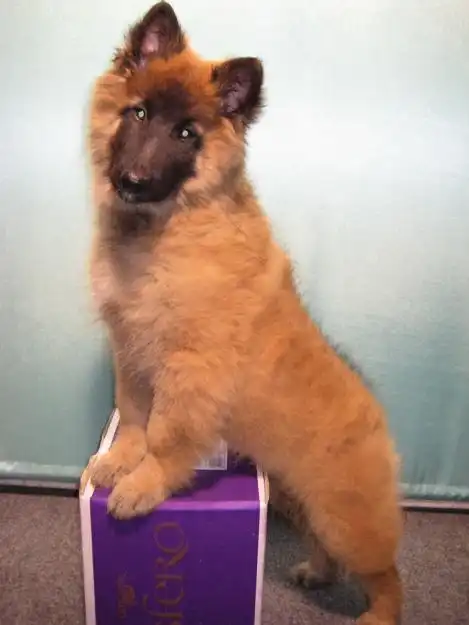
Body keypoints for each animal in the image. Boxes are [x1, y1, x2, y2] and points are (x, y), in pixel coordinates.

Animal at [86, 3, 403, 623]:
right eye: (139, 113)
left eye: (186, 134)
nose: (133, 180)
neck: (164, 228)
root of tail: (378, 416)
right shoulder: (130, 351)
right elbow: (132, 416)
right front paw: (119, 461)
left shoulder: (189, 366)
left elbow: (165, 434)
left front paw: (144, 482)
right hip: (298, 498)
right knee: (325, 549)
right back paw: (314, 573)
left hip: (346, 517)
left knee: (387, 574)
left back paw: (379, 612)